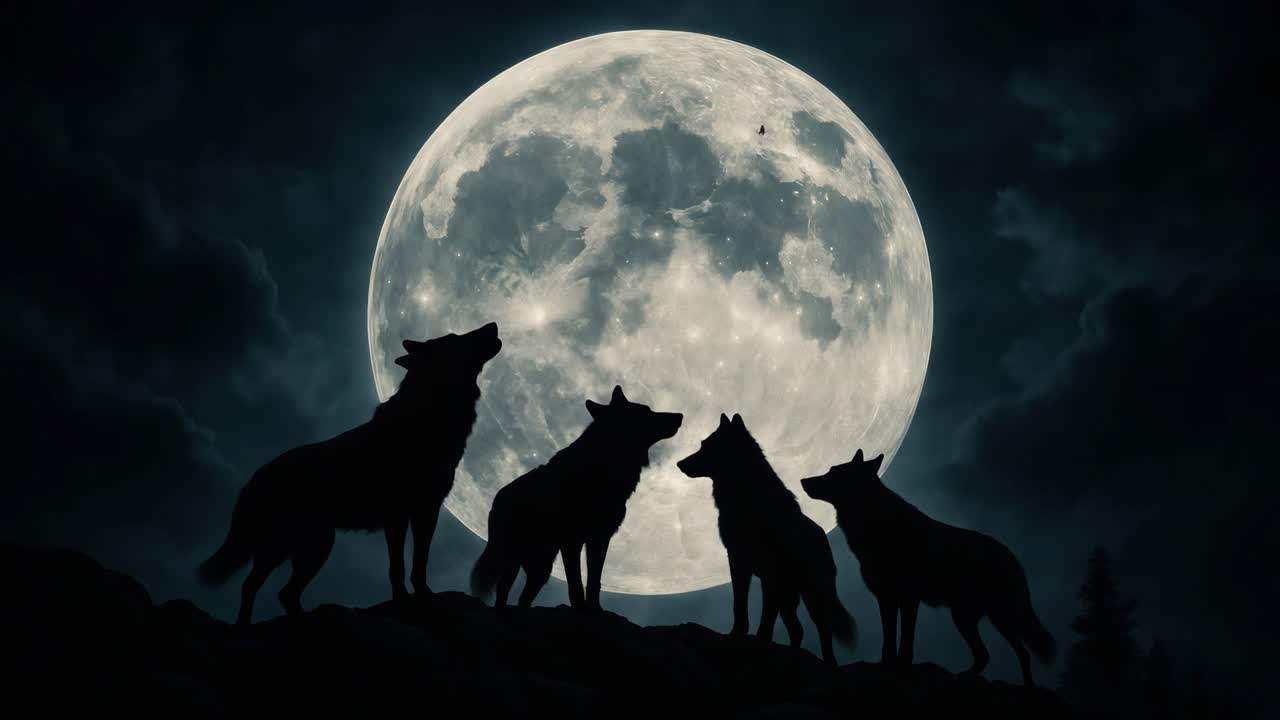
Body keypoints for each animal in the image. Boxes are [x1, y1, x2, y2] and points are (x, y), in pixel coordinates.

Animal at [198, 322, 502, 625]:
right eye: (454, 337)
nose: (493, 324)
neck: (429, 414)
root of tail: (253, 479)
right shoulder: (397, 515)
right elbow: (398, 566)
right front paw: (402, 601)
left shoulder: (426, 512)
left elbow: (420, 563)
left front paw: (425, 596)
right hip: (288, 547)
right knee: (251, 586)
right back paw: (245, 624)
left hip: (315, 546)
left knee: (284, 593)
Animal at [471, 385, 682, 611]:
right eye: (647, 411)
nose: (680, 415)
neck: (603, 465)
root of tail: (497, 499)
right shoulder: (572, 541)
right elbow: (575, 583)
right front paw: (581, 607)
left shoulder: (599, 537)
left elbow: (594, 581)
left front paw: (595, 609)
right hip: (513, 559)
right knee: (503, 589)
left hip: (541, 568)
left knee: (523, 598)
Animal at [676, 413, 855, 664]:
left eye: (706, 446)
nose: (679, 463)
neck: (749, 497)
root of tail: (823, 537)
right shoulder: (738, 560)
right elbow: (739, 605)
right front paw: (737, 634)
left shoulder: (770, 572)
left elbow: (766, 616)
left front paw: (760, 641)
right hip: (789, 597)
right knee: (798, 629)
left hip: (811, 595)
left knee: (823, 629)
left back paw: (829, 662)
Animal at [801, 449, 1056, 686]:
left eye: (833, 472)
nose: (802, 480)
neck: (877, 523)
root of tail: (1012, 557)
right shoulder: (886, 597)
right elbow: (888, 638)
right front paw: (887, 665)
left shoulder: (908, 598)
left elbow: (906, 639)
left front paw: (902, 666)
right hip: (973, 618)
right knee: (997, 654)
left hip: (993, 616)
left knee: (1016, 652)